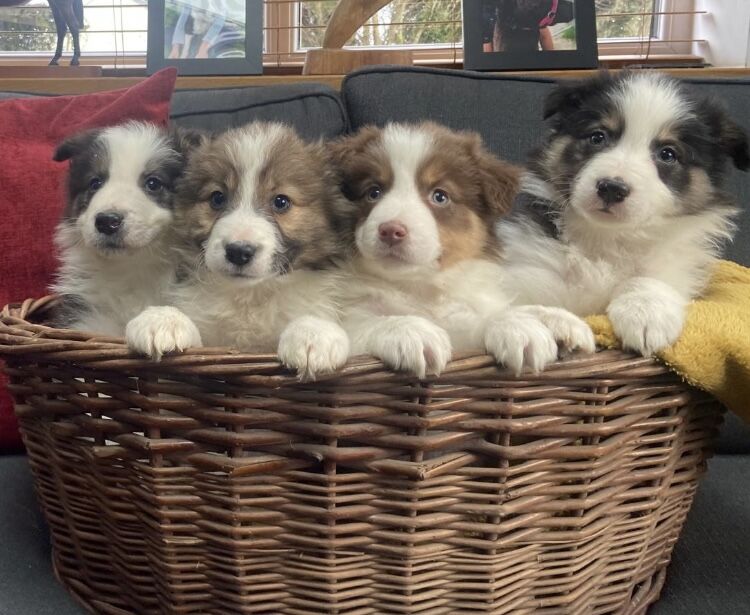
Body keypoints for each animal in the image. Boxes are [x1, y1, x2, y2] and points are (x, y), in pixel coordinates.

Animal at [127, 120, 352, 380]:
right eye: (217, 198)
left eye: (281, 201)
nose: (238, 252)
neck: (250, 297)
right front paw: (163, 319)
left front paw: (313, 334)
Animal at [332, 122, 596, 378]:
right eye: (373, 192)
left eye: (440, 196)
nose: (390, 230)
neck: (418, 287)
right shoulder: (351, 318)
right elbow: (369, 324)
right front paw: (414, 332)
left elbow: (488, 315)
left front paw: (535, 323)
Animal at [496, 70, 748, 354]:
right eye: (597, 137)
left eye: (668, 154)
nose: (611, 188)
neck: (607, 238)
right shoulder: (527, 266)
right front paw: (552, 323)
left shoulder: (677, 267)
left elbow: (650, 278)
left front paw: (646, 313)